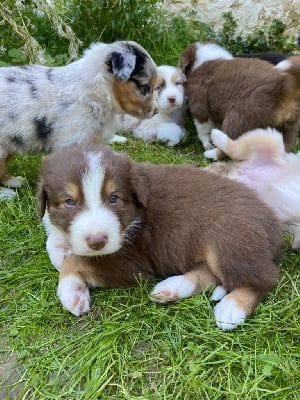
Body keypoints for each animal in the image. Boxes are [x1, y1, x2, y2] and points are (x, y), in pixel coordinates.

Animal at [37, 144, 282, 332]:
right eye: (70, 202)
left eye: (114, 198)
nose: (97, 241)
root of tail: (273, 223)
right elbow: (55, 241)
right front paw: (60, 253)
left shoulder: (132, 261)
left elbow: (75, 261)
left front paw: (71, 292)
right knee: (211, 274)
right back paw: (172, 289)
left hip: (228, 237)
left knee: (265, 279)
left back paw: (231, 308)